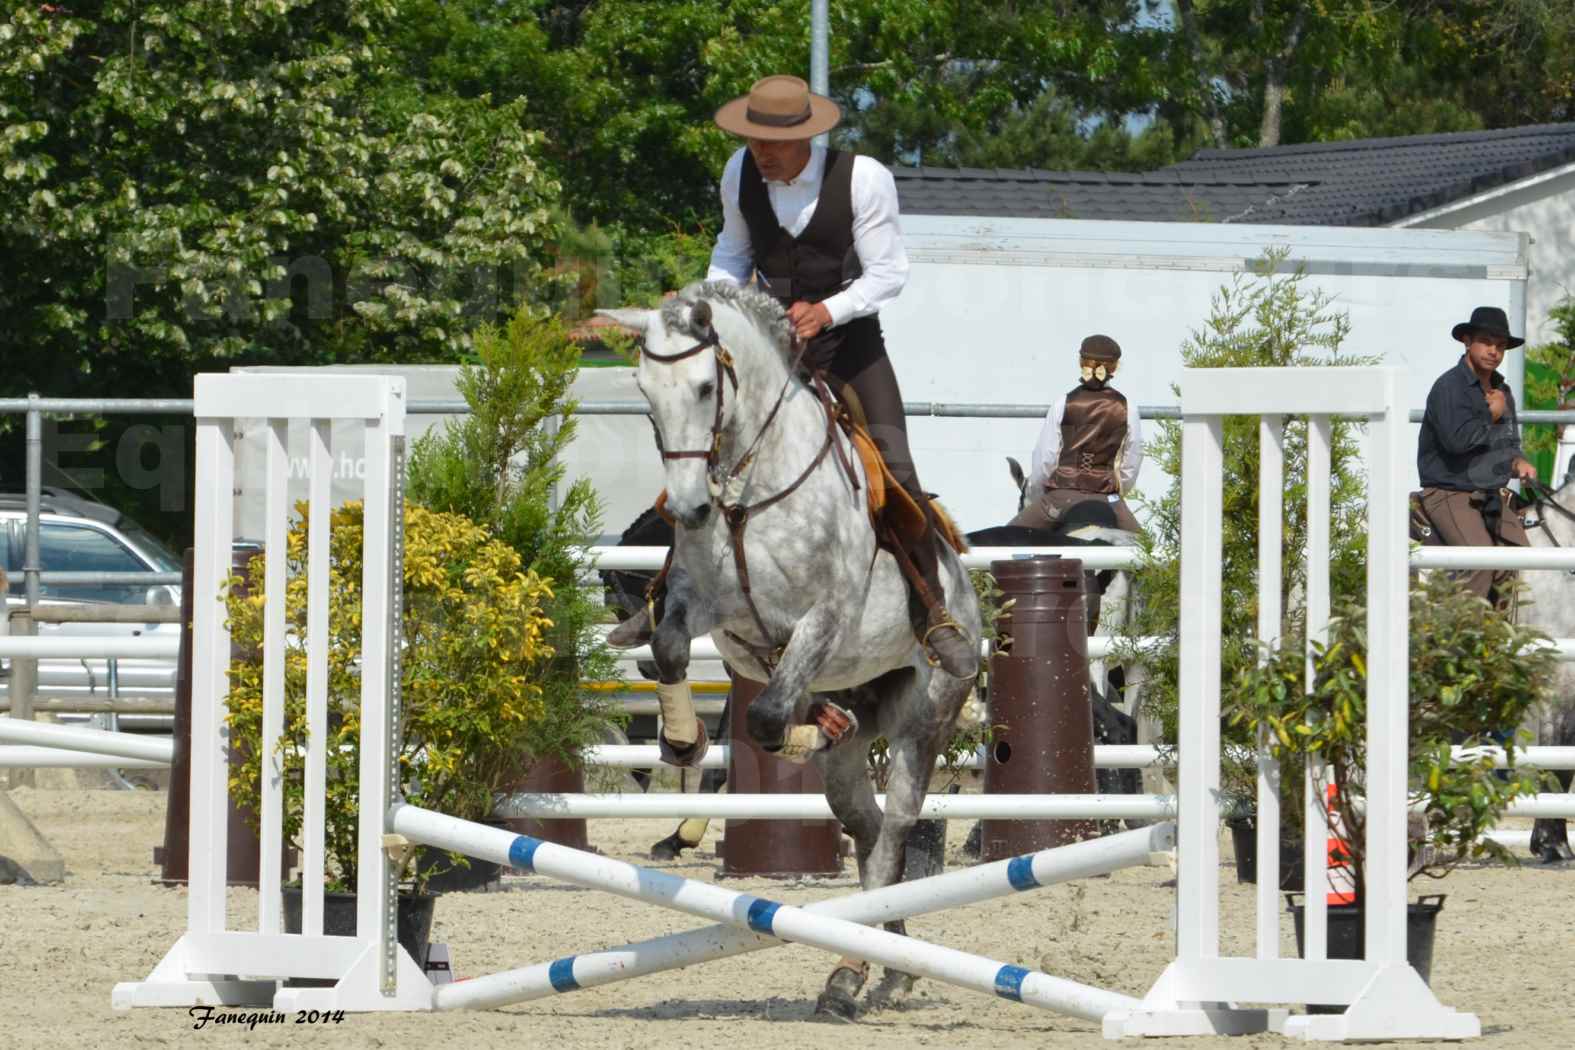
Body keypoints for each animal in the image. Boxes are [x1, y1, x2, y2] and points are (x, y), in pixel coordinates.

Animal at [601, 281, 982, 1020]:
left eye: (703, 387)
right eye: (644, 391)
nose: (687, 511)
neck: (746, 493)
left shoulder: (821, 622)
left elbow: (766, 717)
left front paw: (798, 732)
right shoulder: (703, 607)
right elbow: (668, 646)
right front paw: (683, 740)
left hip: (924, 720)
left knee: (895, 828)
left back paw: (854, 971)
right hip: (858, 722)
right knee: (866, 829)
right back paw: (881, 961)